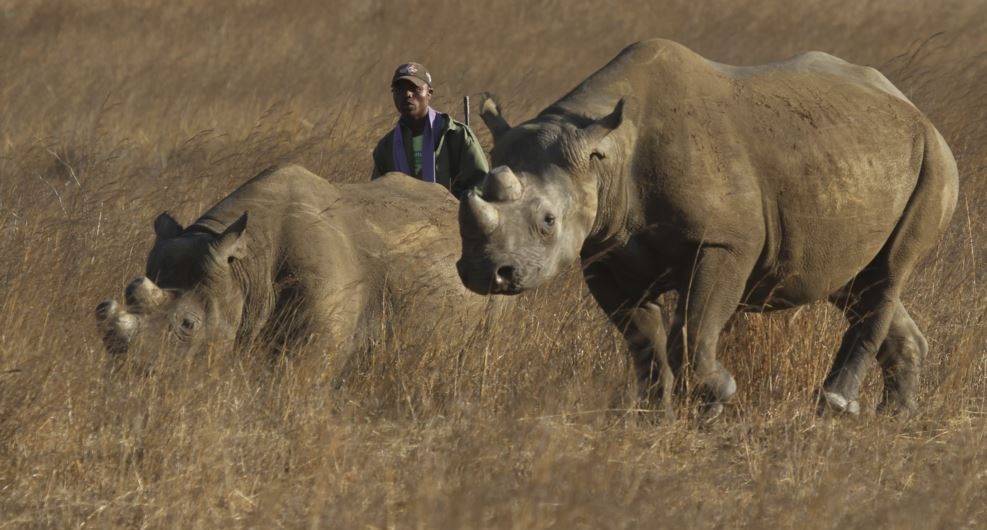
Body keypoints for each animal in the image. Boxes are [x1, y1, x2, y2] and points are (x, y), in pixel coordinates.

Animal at [460, 39, 960, 414]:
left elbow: (696, 324)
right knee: (852, 282)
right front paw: (652, 413)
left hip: (934, 161)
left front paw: (716, 397)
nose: (487, 273)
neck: (606, 155)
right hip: (856, 155)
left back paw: (836, 405)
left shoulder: (724, 243)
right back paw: (894, 416)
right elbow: (641, 338)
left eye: (548, 221)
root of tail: (914, 107)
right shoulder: (603, 249)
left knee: (888, 273)